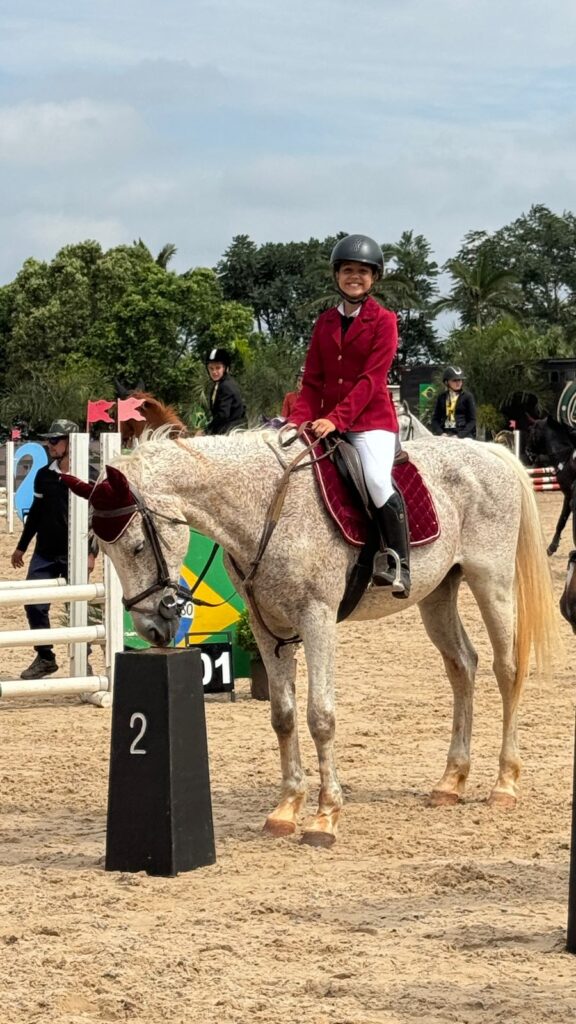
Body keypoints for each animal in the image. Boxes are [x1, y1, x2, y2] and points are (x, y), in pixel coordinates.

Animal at [89, 434, 557, 847]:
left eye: (136, 547)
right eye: (102, 550)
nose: (152, 629)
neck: (267, 509)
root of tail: (488, 451)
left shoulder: (317, 620)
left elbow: (320, 717)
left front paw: (325, 816)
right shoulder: (267, 626)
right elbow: (283, 716)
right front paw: (285, 810)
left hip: (492, 582)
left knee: (506, 670)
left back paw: (504, 784)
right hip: (438, 595)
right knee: (463, 665)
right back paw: (451, 781)